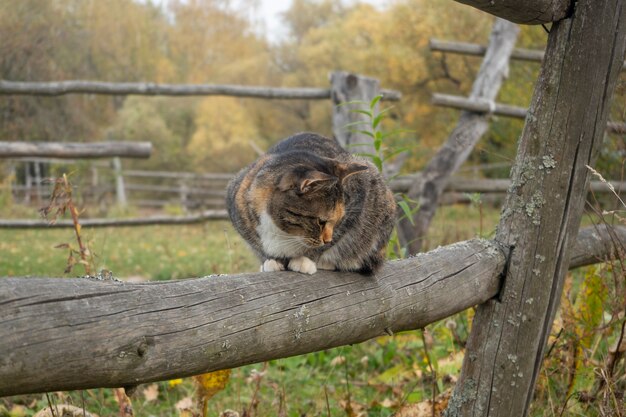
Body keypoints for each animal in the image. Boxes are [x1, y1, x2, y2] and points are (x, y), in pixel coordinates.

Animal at [227, 130, 398, 272]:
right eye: (320, 222)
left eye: (337, 220)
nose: (327, 240)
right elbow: (258, 246)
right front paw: (271, 261)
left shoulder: (357, 199)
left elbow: (333, 238)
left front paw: (305, 260)